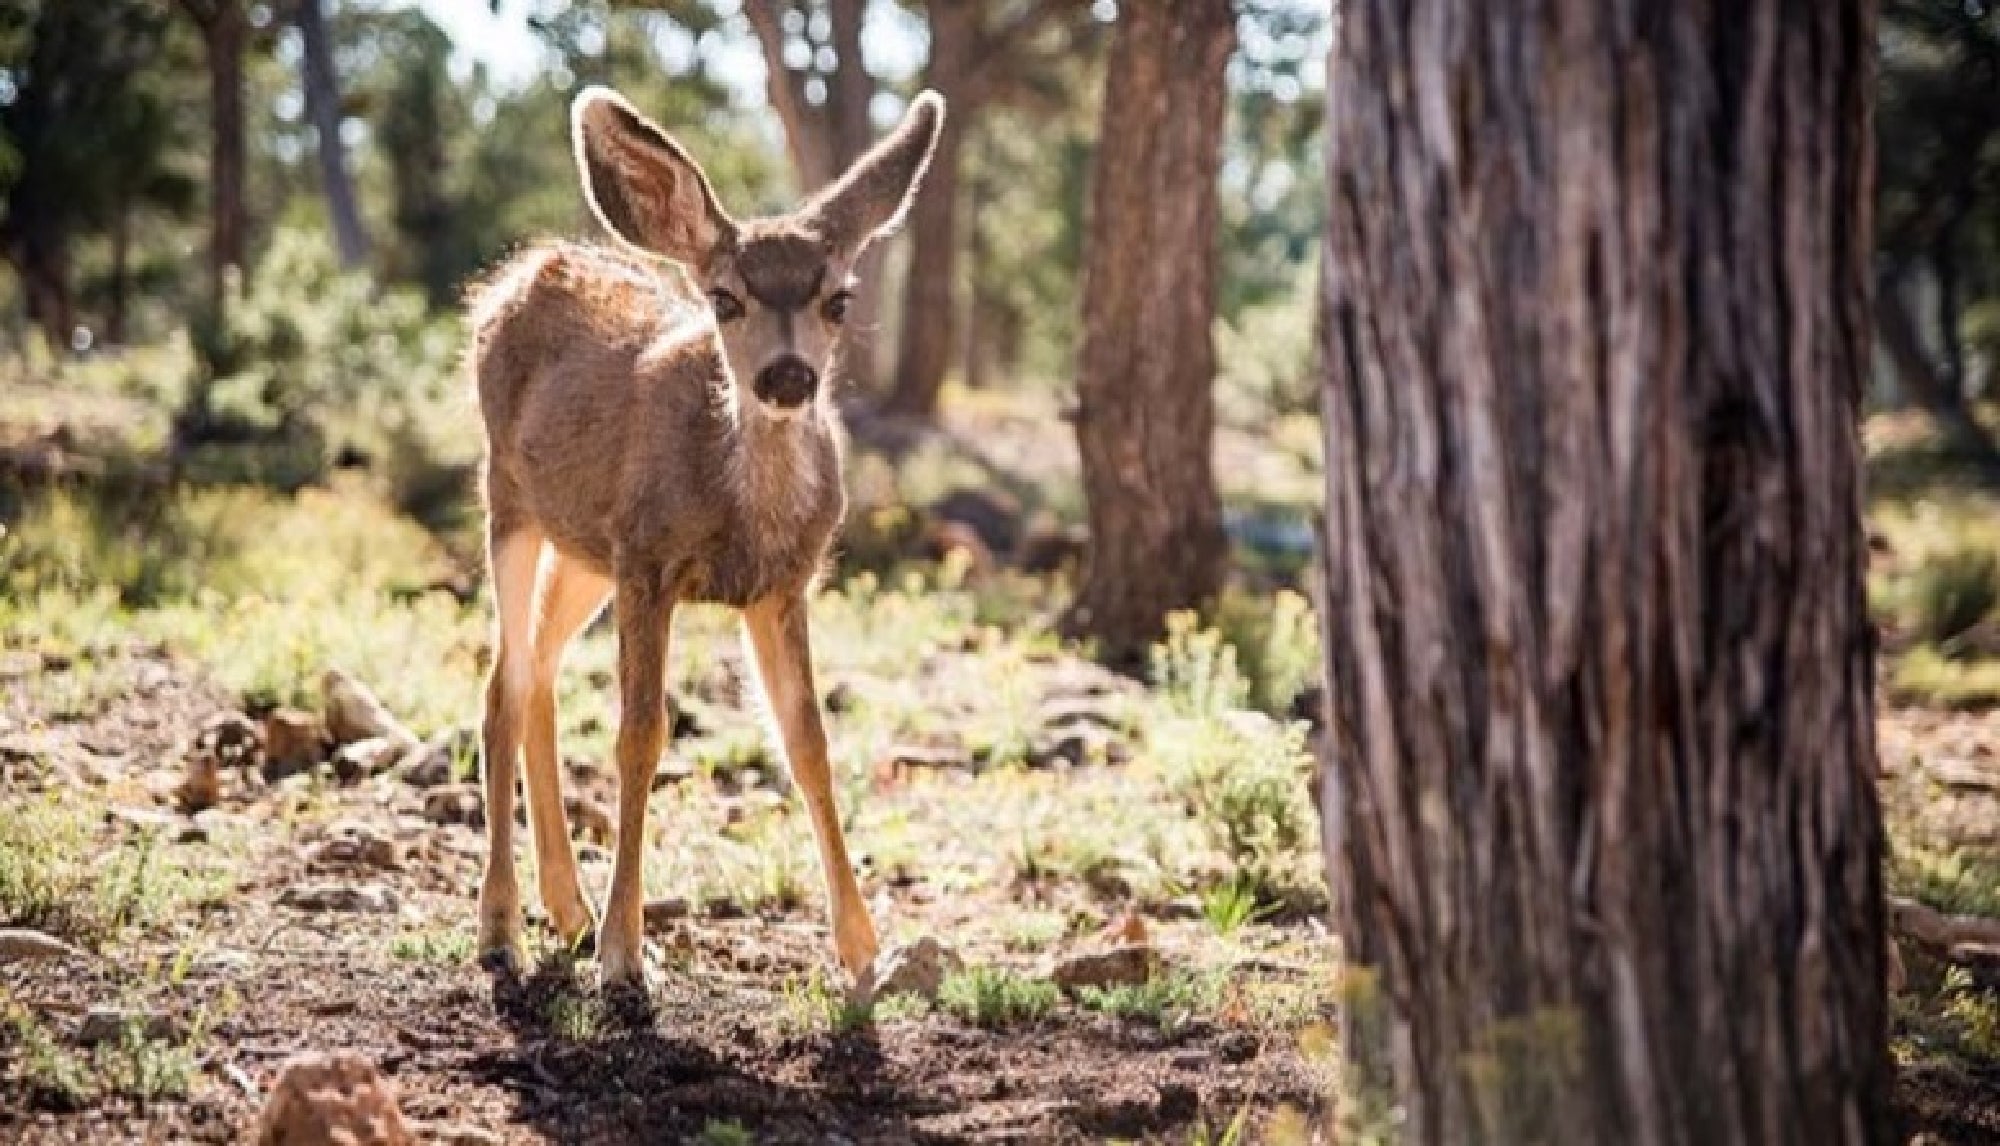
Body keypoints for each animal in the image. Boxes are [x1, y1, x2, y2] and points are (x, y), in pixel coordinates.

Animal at [464, 85, 945, 991]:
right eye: (725, 299)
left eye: (839, 299)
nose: (787, 375)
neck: (742, 513)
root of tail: (511, 277)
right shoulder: (648, 561)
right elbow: (639, 735)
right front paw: (626, 953)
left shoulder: (783, 584)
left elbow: (808, 741)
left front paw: (862, 950)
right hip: (508, 502)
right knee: (502, 687)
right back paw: (503, 930)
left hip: (584, 547)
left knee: (536, 672)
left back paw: (566, 908)